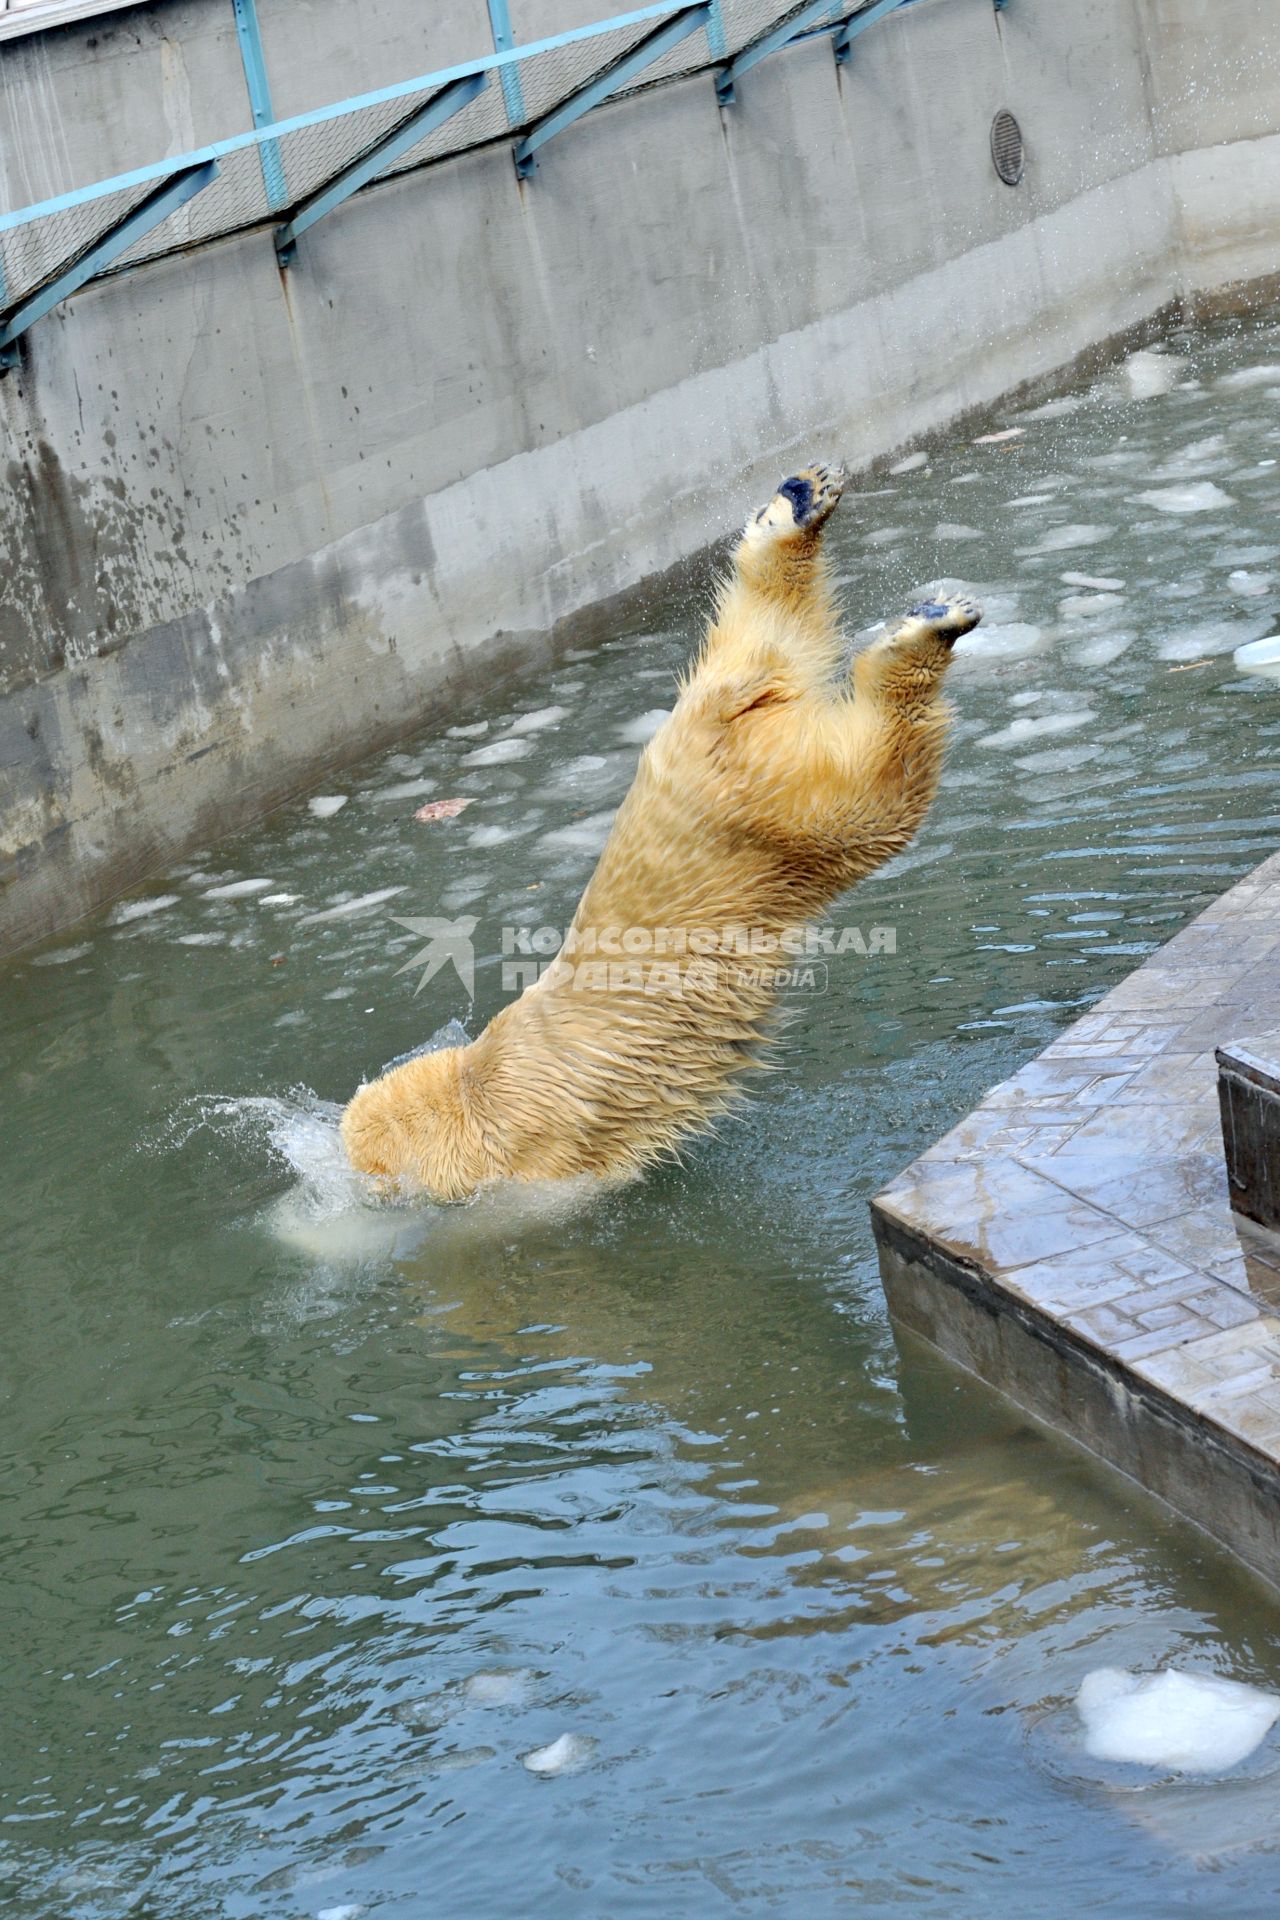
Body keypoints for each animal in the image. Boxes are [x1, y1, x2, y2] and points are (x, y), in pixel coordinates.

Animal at [339, 464, 982, 1198]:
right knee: (769, 639)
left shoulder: (539, 1160)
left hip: (736, 797)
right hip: (754, 764)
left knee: (879, 786)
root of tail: (724, 716)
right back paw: (818, 520)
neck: (478, 1093)